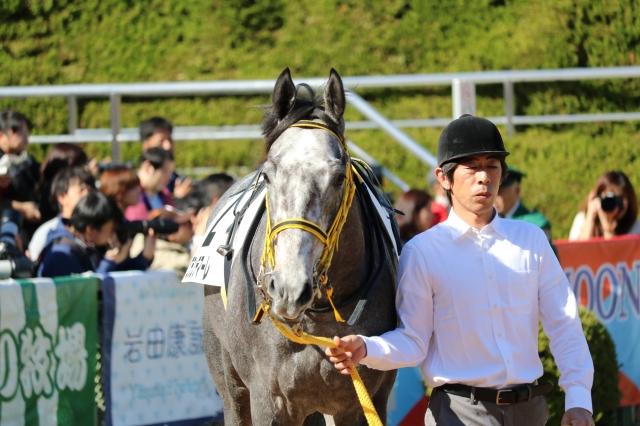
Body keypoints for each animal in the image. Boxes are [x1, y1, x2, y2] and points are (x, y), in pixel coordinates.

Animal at [202, 68, 398, 424]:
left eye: (339, 178)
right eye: (267, 176)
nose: (288, 290)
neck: (315, 319)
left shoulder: (363, 400)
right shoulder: (269, 400)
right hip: (228, 379)